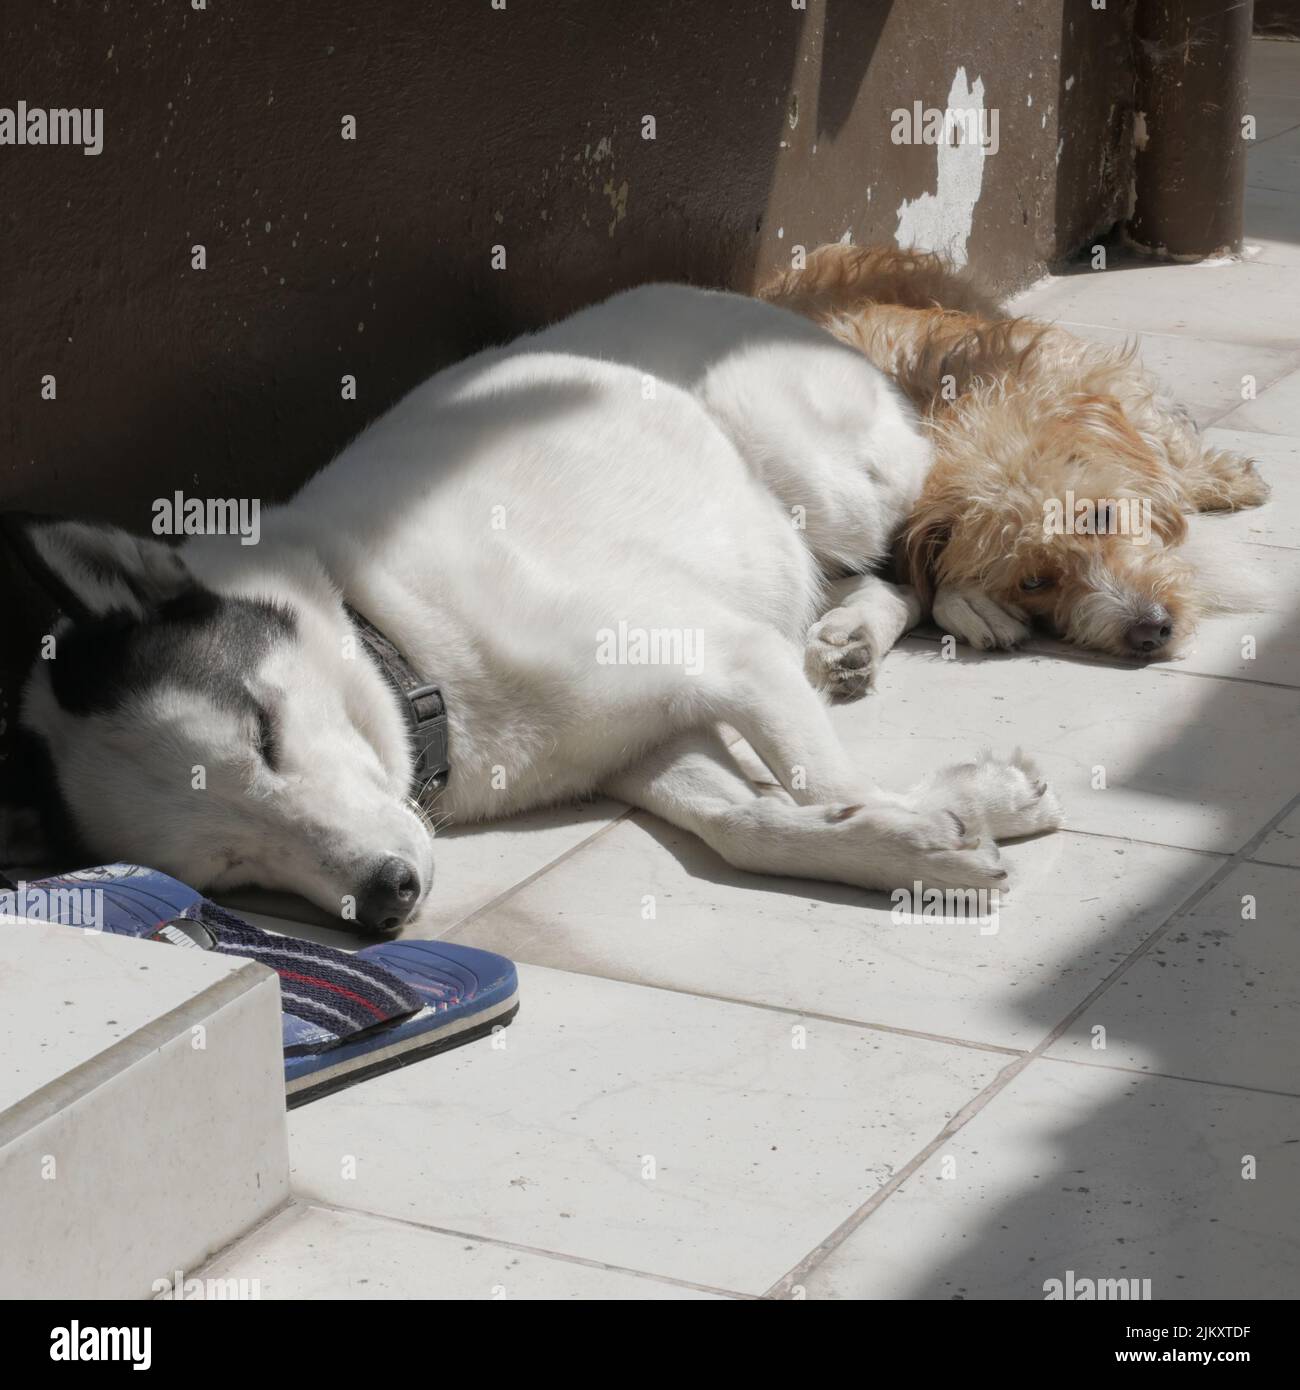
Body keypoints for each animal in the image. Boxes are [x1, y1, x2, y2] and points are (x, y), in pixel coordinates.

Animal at [10, 284, 1062, 934]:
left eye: (266, 737)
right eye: (228, 869)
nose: (387, 897)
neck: (397, 645)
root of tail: (754, 302)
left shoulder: (729, 657)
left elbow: (823, 780)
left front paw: (946, 814)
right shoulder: (644, 745)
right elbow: (753, 822)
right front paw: (913, 838)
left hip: (812, 467)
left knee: (921, 521)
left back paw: (971, 593)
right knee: (852, 581)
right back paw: (848, 633)